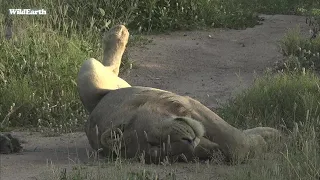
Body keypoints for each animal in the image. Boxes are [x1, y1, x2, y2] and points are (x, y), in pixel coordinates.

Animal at [78, 24, 282, 164]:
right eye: (161, 149)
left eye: (153, 138)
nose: (189, 140)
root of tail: (93, 109)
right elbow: (234, 145)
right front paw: (264, 138)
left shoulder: (186, 102)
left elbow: (233, 137)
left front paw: (270, 134)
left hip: (89, 72)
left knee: (110, 67)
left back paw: (118, 33)